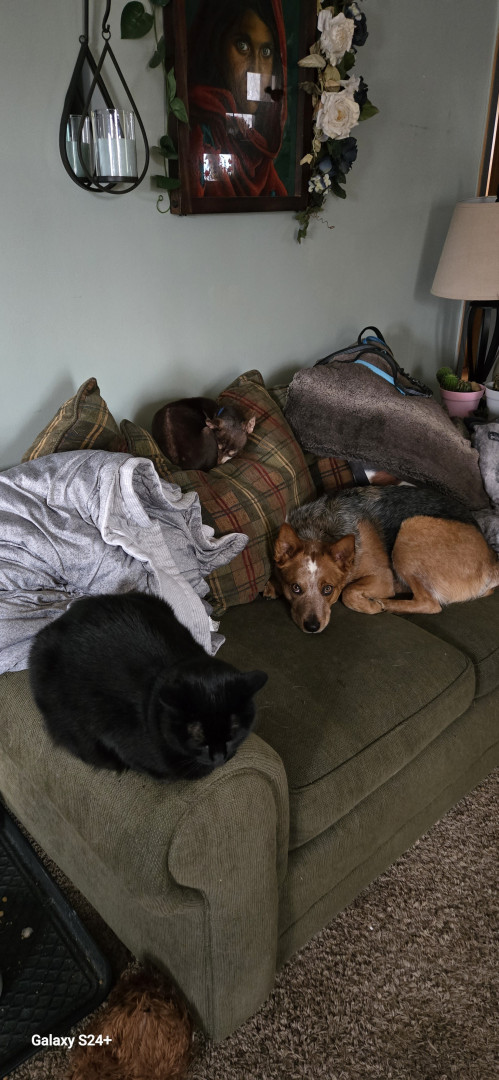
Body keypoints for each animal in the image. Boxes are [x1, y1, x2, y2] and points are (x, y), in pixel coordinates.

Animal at [263, 486, 499, 633]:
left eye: (328, 590)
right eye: (295, 588)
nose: (312, 627)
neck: (317, 530)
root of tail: (492, 560)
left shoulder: (382, 578)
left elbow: (348, 592)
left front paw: (371, 606)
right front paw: (272, 586)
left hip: (410, 530)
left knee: (430, 603)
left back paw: (386, 603)